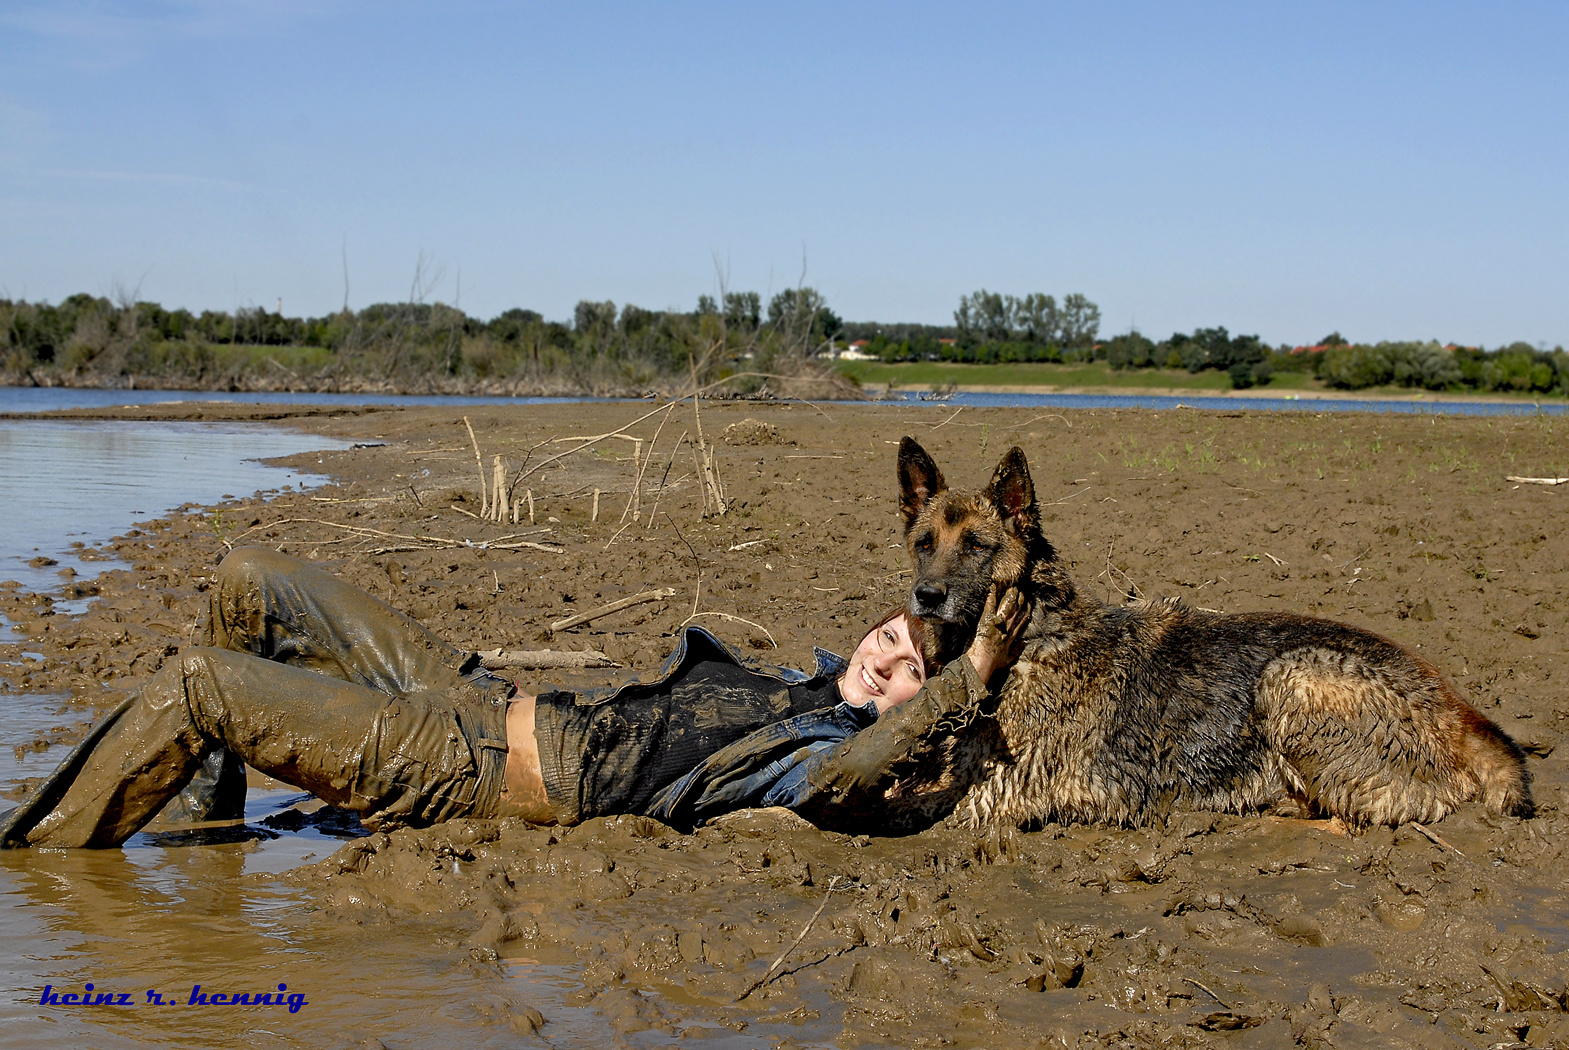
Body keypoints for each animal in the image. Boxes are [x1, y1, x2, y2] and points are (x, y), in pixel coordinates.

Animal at [903, 433, 1525, 828]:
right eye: (923, 544)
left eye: (978, 547)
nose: (926, 597)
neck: (1035, 632)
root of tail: (1458, 711)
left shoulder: (1006, 788)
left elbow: (920, 799)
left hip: (1291, 674)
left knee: (1360, 810)